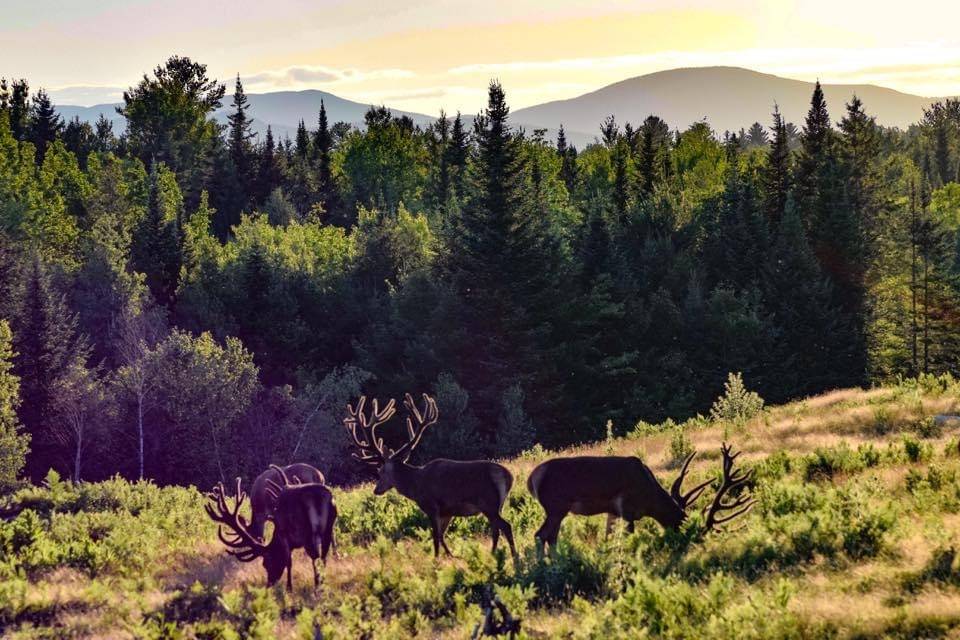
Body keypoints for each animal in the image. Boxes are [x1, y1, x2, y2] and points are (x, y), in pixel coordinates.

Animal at [203, 464, 338, 592]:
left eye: (266, 563)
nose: (269, 584)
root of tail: (319, 475)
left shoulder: (280, 529)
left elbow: (288, 560)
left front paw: (289, 588)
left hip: (308, 532)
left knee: (316, 557)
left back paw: (317, 586)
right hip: (327, 527)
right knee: (324, 554)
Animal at [344, 392, 516, 556]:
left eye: (381, 471)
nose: (376, 490)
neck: (415, 485)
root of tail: (508, 476)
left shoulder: (431, 505)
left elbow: (435, 537)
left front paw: (437, 559)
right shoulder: (447, 511)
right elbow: (441, 536)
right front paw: (451, 556)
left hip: (488, 502)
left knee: (505, 526)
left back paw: (512, 556)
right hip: (497, 506)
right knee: (496, 529)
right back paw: (494, 554)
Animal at [528, 442, 752, 552]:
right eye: (695, 533)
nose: (694, 545)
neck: (649, 499)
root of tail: (531, 480)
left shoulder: (613, 511)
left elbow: (607, 538)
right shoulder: (626, 508)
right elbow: (629, 536)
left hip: (557, 510)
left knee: (550, 537)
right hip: (556, 507)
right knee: (541, 535)